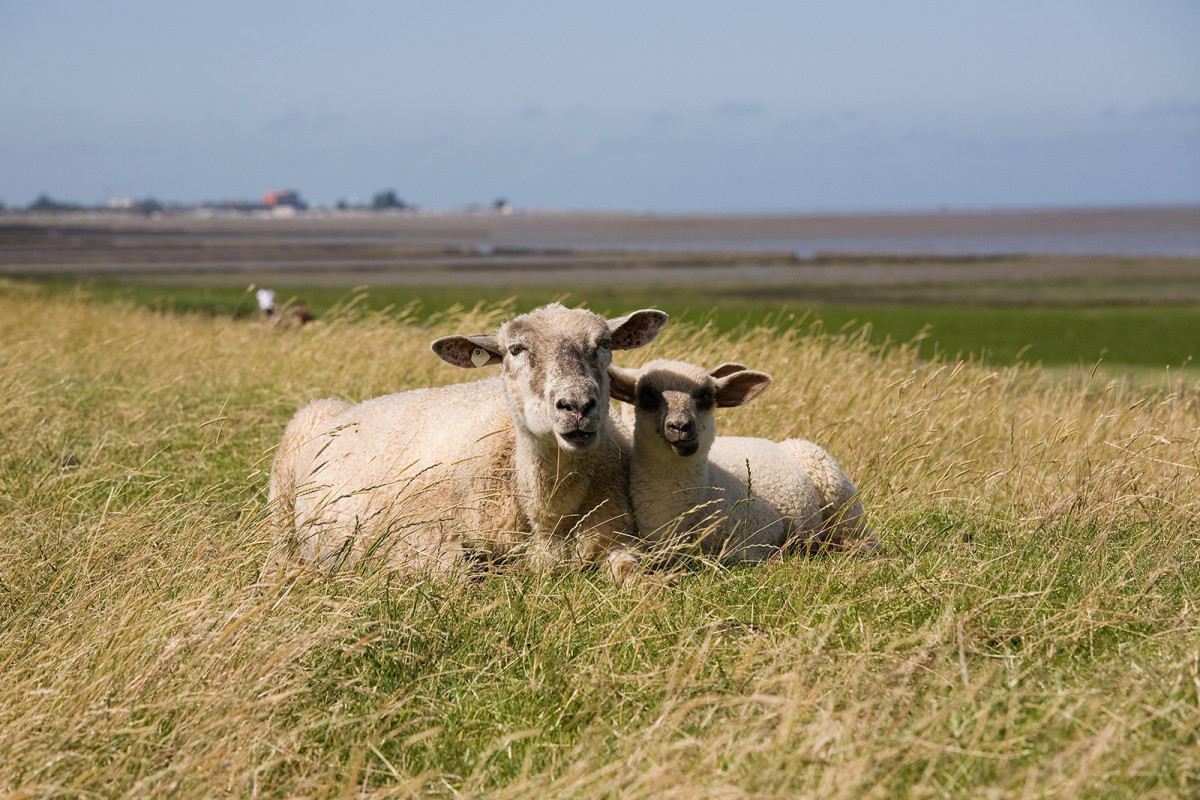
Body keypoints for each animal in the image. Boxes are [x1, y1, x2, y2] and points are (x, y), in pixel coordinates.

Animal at [263, 303, 668, 583]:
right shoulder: (424, 540)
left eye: (603, 343)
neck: (547, 509)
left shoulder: (618, 537)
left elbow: (636, 577)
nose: (579, 406)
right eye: (516, 349)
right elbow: (465, 581)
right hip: (282, 508)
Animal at [608, 359, 876, 564]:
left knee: (865, 541)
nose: (681, 427)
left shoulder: (764, 528)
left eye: (706, 397)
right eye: (646, 397)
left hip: (840, 498)